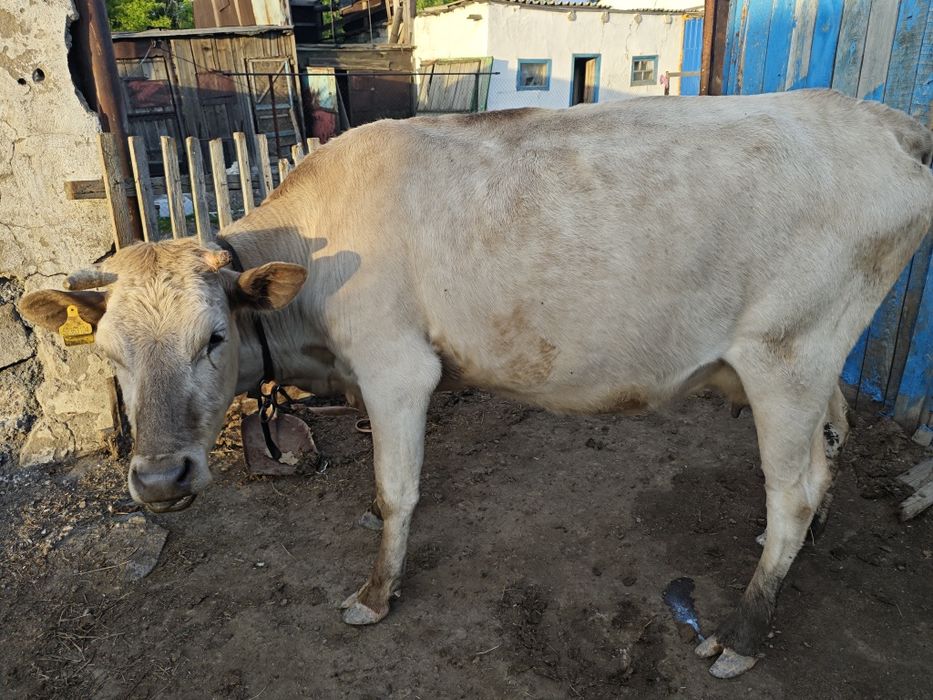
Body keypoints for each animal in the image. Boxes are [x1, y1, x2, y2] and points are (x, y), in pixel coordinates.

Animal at [20, 90, 933, 678]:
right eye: (111, 354)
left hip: (787, 353)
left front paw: (375, 593)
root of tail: (880, 119)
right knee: (827, 449)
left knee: (794, 489)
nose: (158, 478)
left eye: (212, 339)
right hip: (815, 357)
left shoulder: (396, 366)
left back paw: (742, 631)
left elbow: (393, 492)